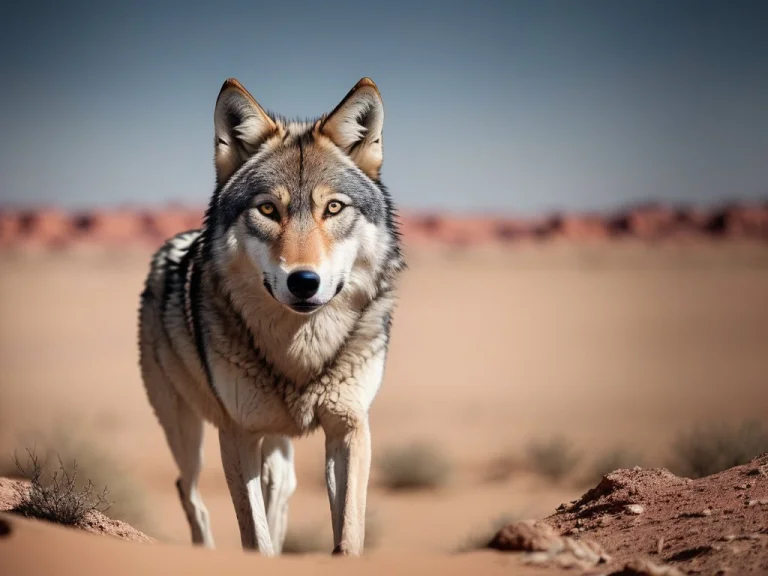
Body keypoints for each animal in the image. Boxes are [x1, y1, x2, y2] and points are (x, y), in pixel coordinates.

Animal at [138, 77, 404, 556]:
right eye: (267, 210)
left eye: (333, 208)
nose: (304, 282)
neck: (298, 352)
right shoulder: (237, 433)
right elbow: (255, 536)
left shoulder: (349, 426)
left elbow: (349, 532)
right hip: (185, 429)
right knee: (189, 491)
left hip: (273, 442)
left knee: (280, 483)